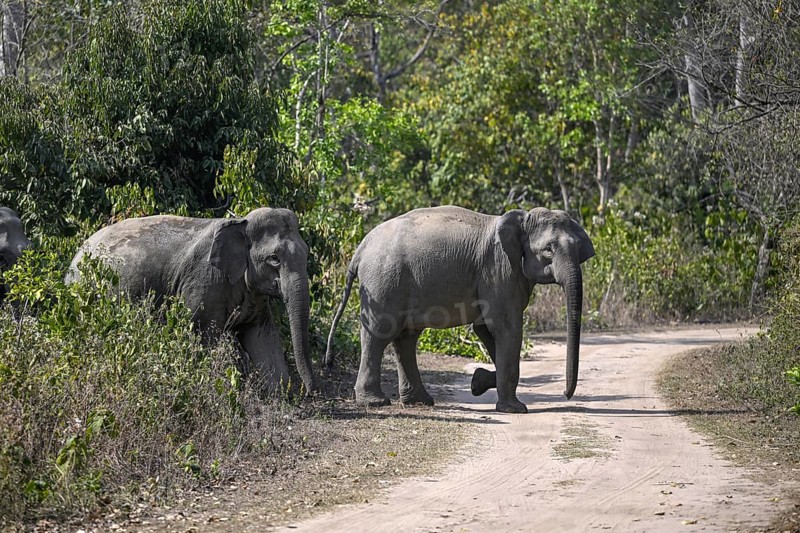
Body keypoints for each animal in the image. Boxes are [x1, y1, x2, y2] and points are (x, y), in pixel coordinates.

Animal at [67, 207, 316, 394]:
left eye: (306, 252)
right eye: (274, 259)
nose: (311, 392)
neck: (239, 222)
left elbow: (261, 335)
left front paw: (279, 395)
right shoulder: (204, 283)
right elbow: (204, 336)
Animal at [325, 205, 595, 413]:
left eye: (578, 249)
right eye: (548, 250)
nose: (566, 395)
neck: (521, 218)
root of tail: (360, 249)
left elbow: (485, 328)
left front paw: (478, 382)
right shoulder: (499, 270)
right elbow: (506, 327)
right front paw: (515, 409)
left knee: (406, 337)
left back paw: (420, 401)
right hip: (383, 280)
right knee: (380, 333)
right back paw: (376, 403)